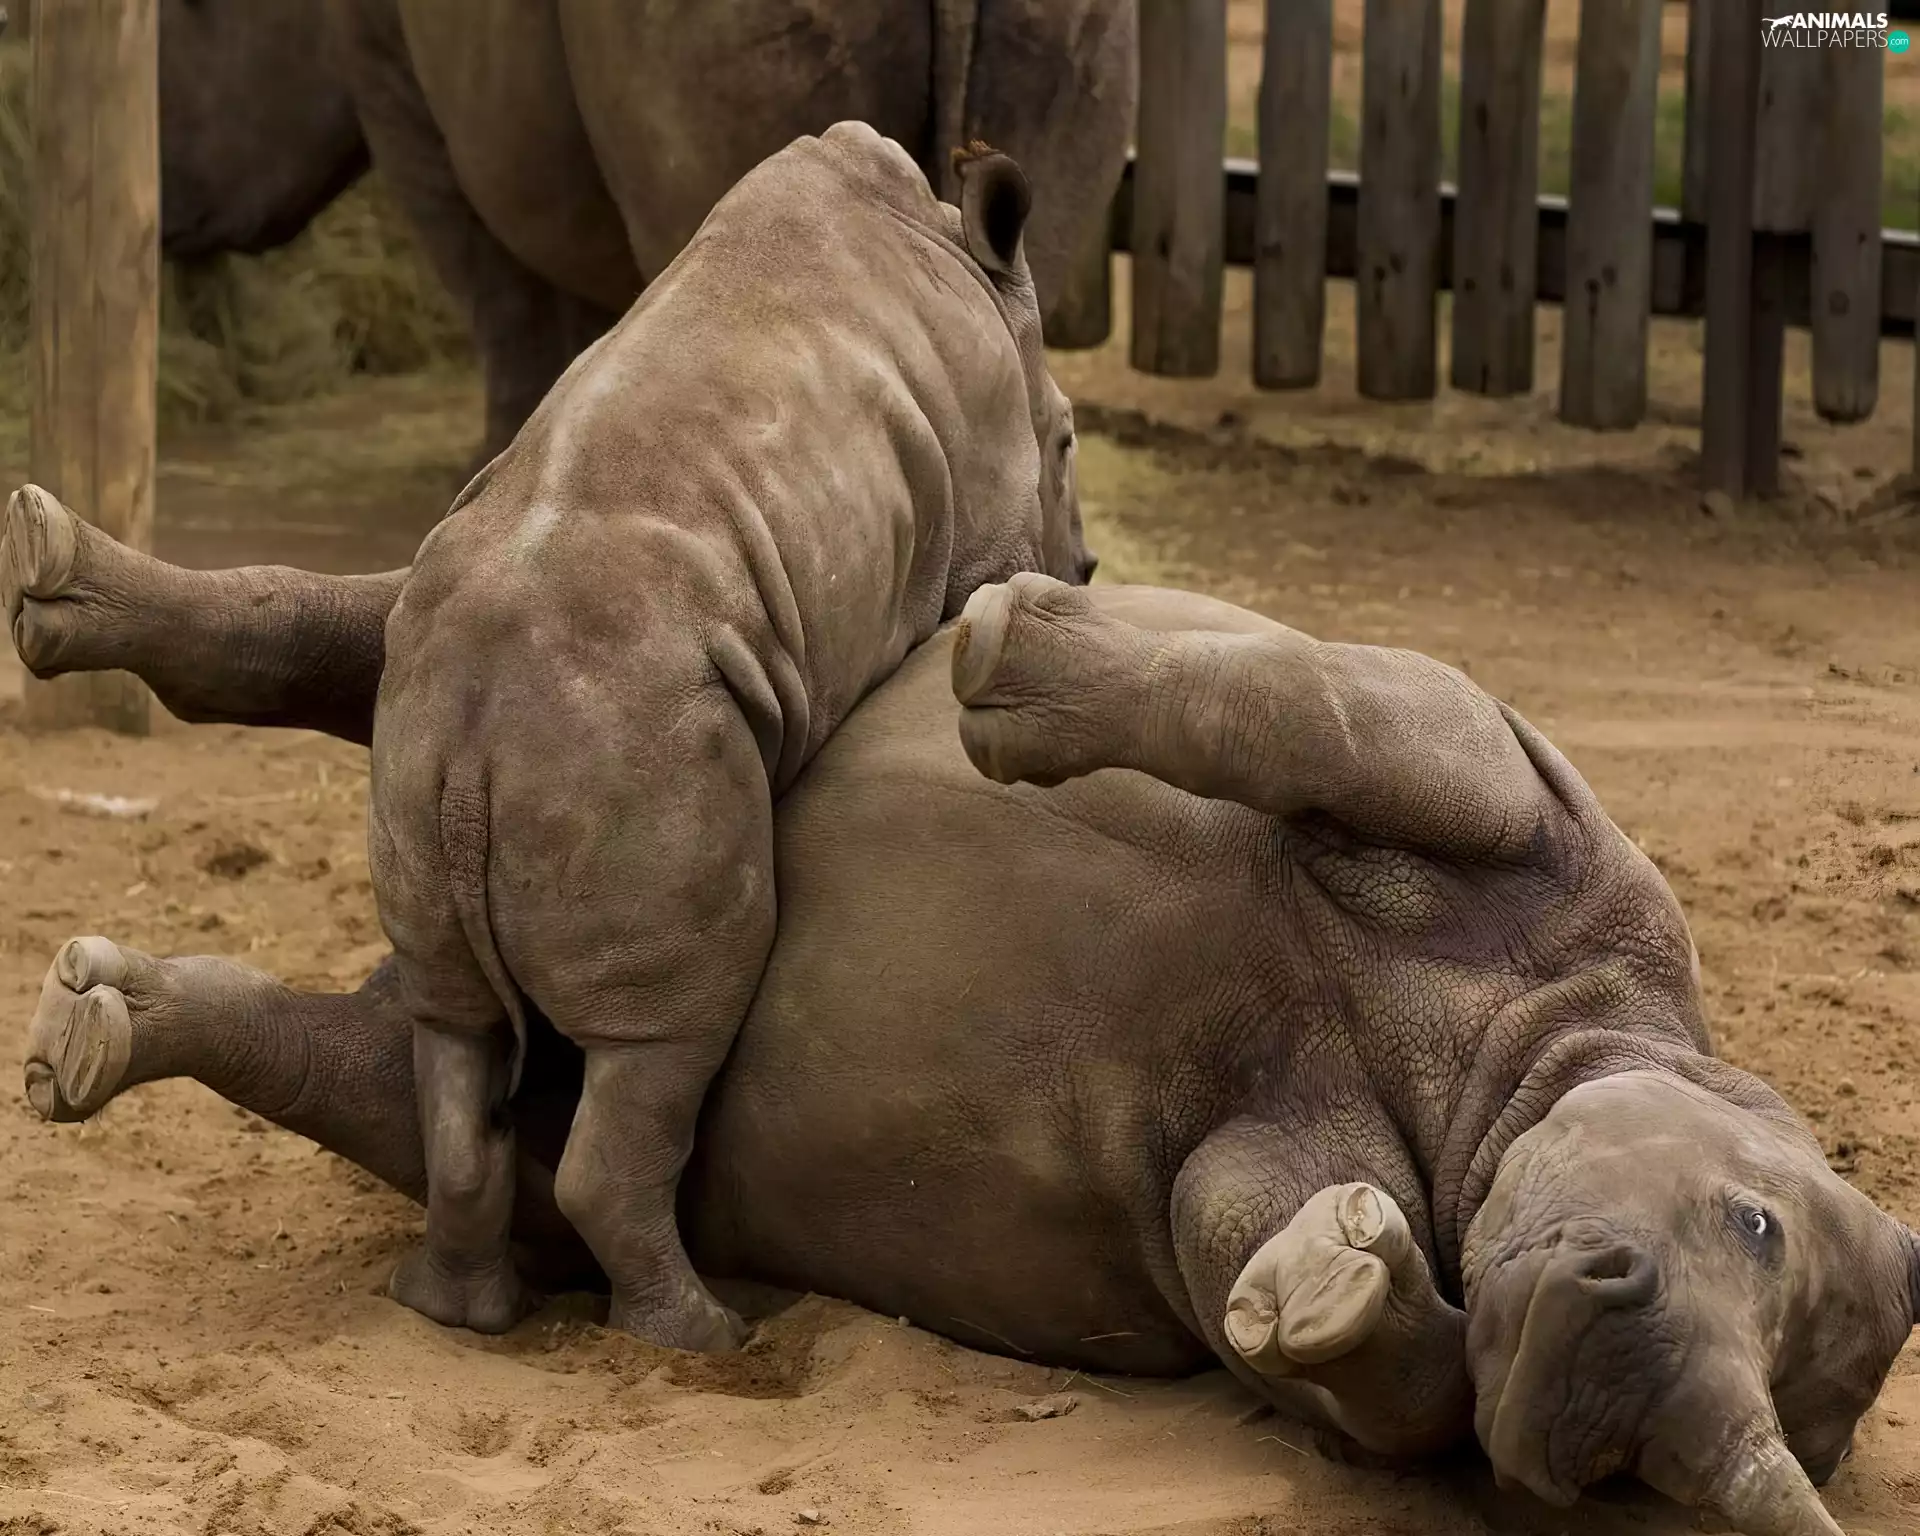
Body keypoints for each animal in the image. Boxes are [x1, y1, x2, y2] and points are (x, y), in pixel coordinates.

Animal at [7, 471, 1919, 1532]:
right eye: (1752, 1221)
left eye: (1639, 1479)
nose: (1598, 1363)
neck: (1513, 1067)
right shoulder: (1519, 800)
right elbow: (1329, 718)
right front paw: (1016, 660)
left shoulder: (1273, 1156)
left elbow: (1330, 1316)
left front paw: (1337, 1282)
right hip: (603, 638)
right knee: (414, 620)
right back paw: (58, 582)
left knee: (457, 1094)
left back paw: (95, 1026)